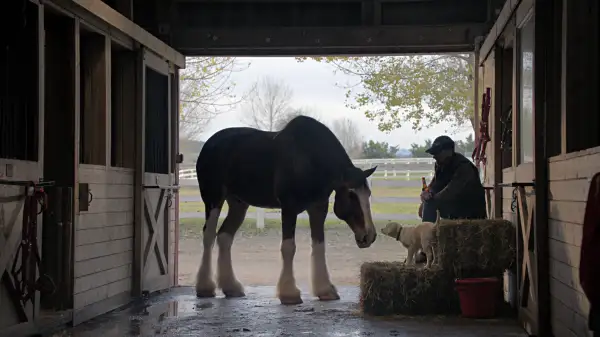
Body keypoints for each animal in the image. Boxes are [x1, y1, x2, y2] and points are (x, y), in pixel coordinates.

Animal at [195, 114, 378, 304]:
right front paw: (289, 293)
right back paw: (205, 288)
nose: (369, 235)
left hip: (238, 204)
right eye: (351, 195)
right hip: (213, 199)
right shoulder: (289, 208)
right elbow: (288, 247)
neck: (310, 158)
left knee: (224, 236)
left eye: (368, 193)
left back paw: (231, 287)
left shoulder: (318, 208)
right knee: (209, 235)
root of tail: (209, 145)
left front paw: (325, 290)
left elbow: (319, 245)